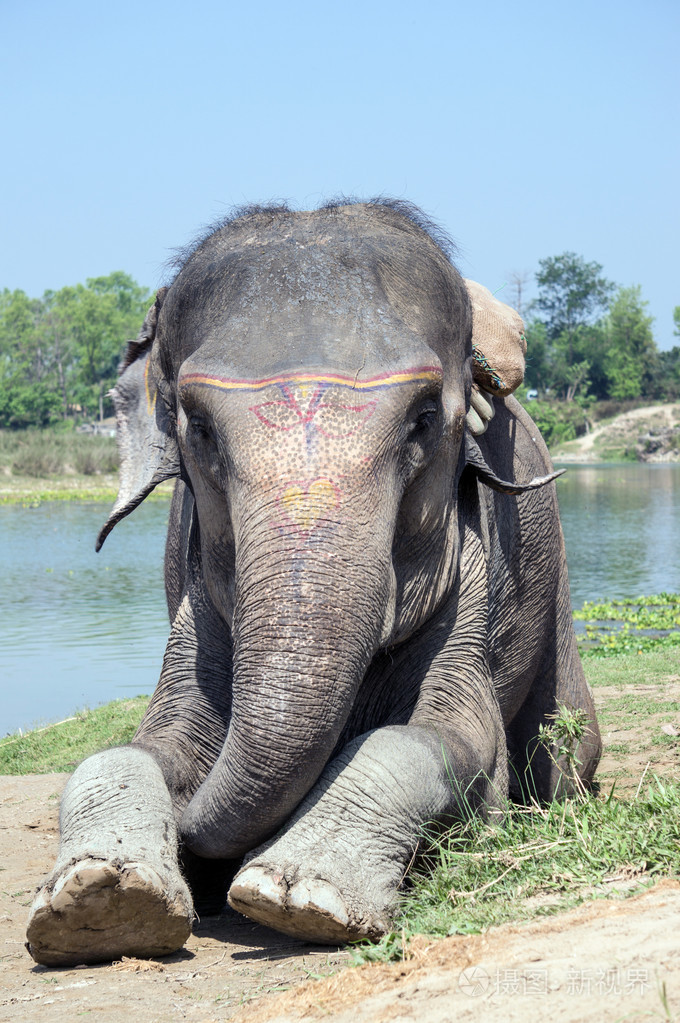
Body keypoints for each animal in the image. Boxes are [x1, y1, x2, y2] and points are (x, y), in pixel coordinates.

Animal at [25, 199, 601, 966]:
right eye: (198, 428)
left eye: (424, 420)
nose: (202, 856)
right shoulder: (195, 611)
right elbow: (137, 742)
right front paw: (100, 897)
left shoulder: (471, 586)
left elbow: (452, 739)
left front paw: (296, 895)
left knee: (562, 747)